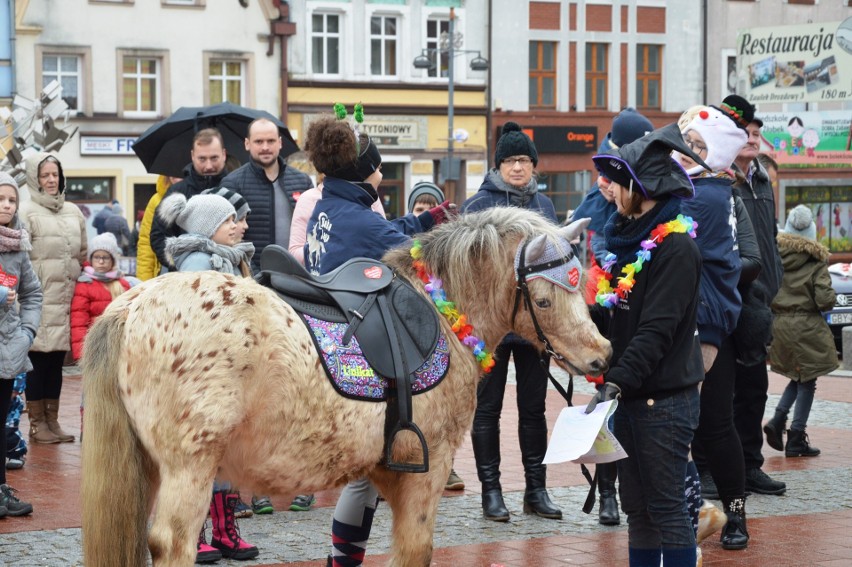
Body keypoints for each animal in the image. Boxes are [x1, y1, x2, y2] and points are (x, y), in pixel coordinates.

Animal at [81, 209, 612, 567]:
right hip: (190, 466)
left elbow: (352, 536)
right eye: (543, 300)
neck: (441, 310)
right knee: (173, 542)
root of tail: (131, 305)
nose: (600, 356)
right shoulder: (429, 469)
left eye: (581, 282)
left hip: (148, 466)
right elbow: (415, 549)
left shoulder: (377, 465)